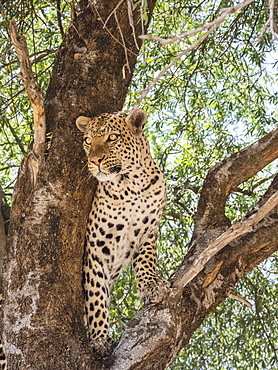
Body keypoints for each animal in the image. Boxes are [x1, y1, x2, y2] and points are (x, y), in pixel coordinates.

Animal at [76, 108, 170, 354]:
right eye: (88, 141)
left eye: (112, 138)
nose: (94, 160)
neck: (131, 186)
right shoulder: (96, 247)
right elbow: (96, 293)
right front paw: (99, 338)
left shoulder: (148, 231)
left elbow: (146, 260)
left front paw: (151, 286)